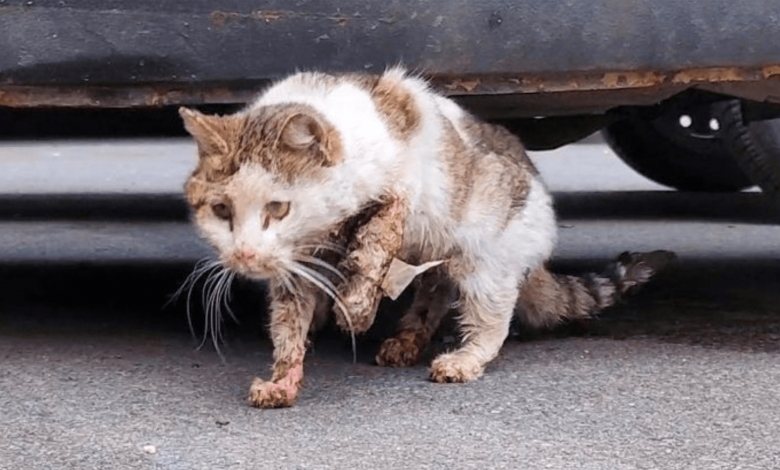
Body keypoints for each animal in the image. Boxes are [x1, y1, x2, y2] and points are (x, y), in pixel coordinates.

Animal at [180, 66, 672, 408]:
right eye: (221, 210)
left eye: (278, 208)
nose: (245, 255)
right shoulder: (296, 267)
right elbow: (288, 325)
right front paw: (283, 380)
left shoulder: (405, 181)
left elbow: (379, 236)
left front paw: (357, 306)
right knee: (434, 291)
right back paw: (407, 340)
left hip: (486, 261)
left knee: (491, 321)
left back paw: (461, 360)